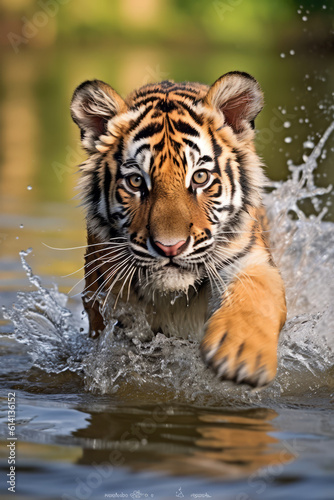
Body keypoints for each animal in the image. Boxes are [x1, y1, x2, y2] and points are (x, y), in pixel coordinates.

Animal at [70, 72, 288, 388]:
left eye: (199, 177)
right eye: (136, 181)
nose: (169, 247)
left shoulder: (249, 258)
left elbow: (256, 294)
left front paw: (241, 354)